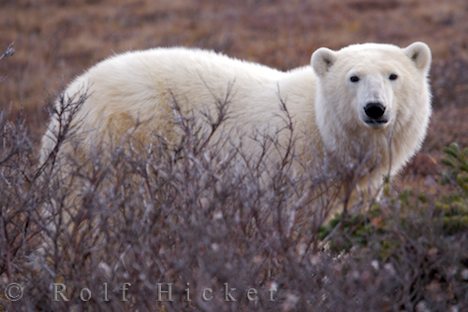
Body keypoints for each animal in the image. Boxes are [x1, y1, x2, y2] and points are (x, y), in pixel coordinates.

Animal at [40, 42, 432, 196]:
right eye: (354, 77)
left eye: (393, 75)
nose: (375, 109)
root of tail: (72, 90)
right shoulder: (289, 168)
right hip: (118, 137)